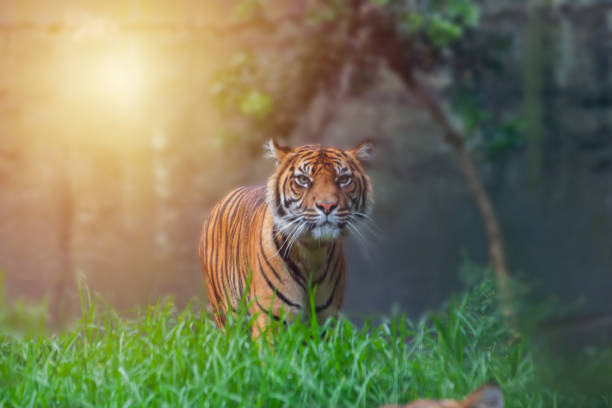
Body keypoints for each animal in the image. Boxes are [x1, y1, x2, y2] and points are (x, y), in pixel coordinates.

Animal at [198, 139, 376, 336]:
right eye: (303, 180)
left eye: (344, 179)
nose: (327, 206)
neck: (312, 251)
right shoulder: (271, 317)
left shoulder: (327, 319)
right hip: (228, 315)